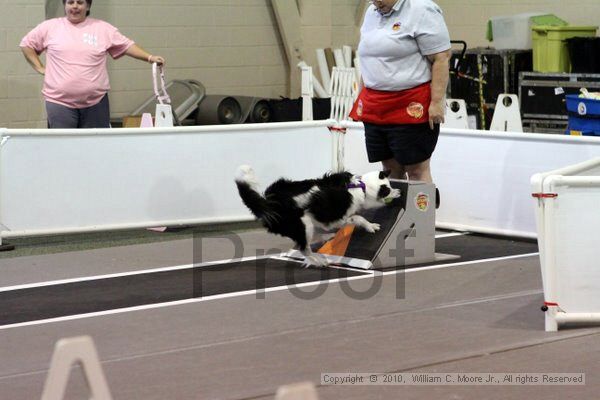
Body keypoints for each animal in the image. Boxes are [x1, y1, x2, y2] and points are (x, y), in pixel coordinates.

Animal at [237, 165, 400, 266]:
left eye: (392, 186)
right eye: (388, 190)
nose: (399, 192)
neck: (362, 187)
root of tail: (268, 202)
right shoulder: (338, 218)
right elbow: (358, 218)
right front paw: (370, 226)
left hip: (305, 223)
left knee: (308, 241)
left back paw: (326, 239)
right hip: (302, 223)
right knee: (304, 248)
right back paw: (318, 261)